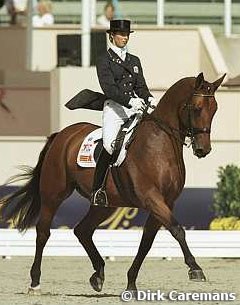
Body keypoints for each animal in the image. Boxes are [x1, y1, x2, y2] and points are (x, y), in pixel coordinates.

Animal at [0, 71, 225, 292]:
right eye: (196, 108)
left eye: (215, 110)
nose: (203, 149)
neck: (159, 144)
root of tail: (62, 135)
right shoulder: (151, 198)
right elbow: (177, 230)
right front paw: (195, 268)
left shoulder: (166, 202)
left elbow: (147, 241)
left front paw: (131, 283)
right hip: (53, 194)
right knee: (43, 232)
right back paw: (35, 282)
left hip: (104, 205)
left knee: (82, 230)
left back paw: (98, 274)